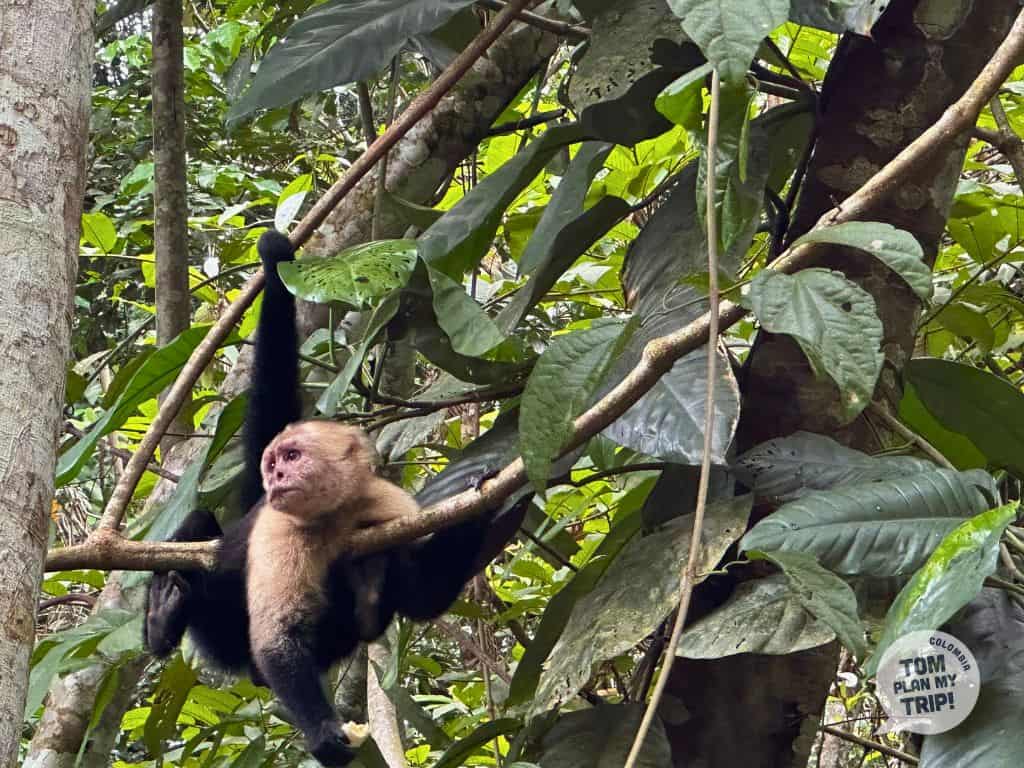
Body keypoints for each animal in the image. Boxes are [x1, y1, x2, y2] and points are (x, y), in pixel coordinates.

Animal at [144, 230, 523, 766]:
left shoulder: (390, 504)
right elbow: (277, 640)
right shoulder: (280, 526)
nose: (276, 477)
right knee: (199, 532)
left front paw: (489, 503)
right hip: (223, 633)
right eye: (272, 464)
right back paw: (161, 621)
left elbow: (421, 597)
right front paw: (324, 731)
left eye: (291, 456)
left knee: (362, 607)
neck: (335, 514)